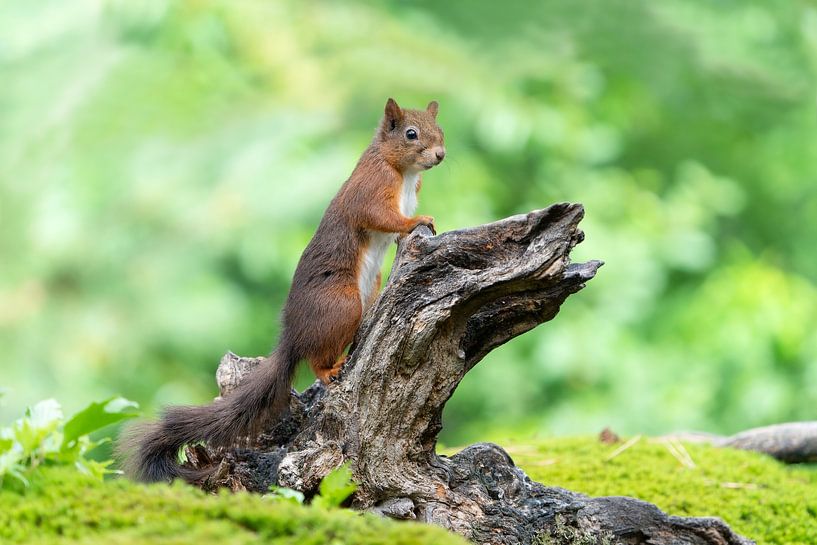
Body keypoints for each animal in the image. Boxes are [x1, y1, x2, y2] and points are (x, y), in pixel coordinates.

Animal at [120, 98, 446, 483]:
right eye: (411, 134)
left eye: (440, 131)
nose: (440, 155)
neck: (404, 173)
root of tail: (293, 335)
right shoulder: (371, 188)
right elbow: (379, 215)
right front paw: (416, 221)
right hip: (341, 304)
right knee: (317, 357)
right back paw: (330, 370)